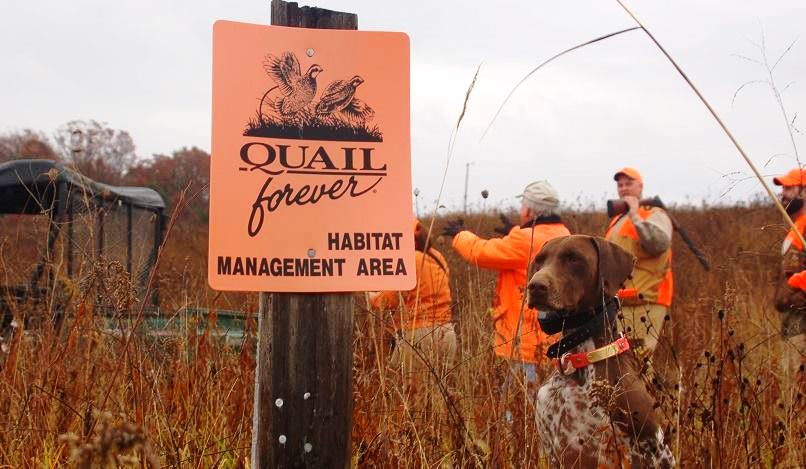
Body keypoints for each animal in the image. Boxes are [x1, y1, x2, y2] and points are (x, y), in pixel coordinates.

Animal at [528, 236, 680, 466]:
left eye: (574, 258)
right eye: (539, 260)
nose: (535, 286)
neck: (578, 361)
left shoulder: (650, 449)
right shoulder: (552, 452)